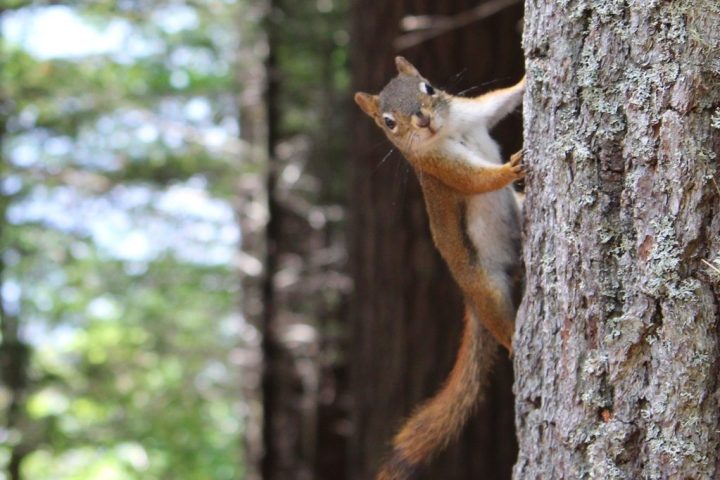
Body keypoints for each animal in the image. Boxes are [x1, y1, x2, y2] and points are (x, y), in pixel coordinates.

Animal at [354, 56, 525, 480]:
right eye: (388, 122)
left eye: (428, 88)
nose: (422, 120)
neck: (449, 129)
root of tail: (468, 298)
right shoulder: (438, 167)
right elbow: (475, 179)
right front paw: (509, 170)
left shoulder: (473, 113)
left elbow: (501, 100)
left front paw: (528, 78)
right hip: (485, 287)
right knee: (500, 324)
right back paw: (516, 342)